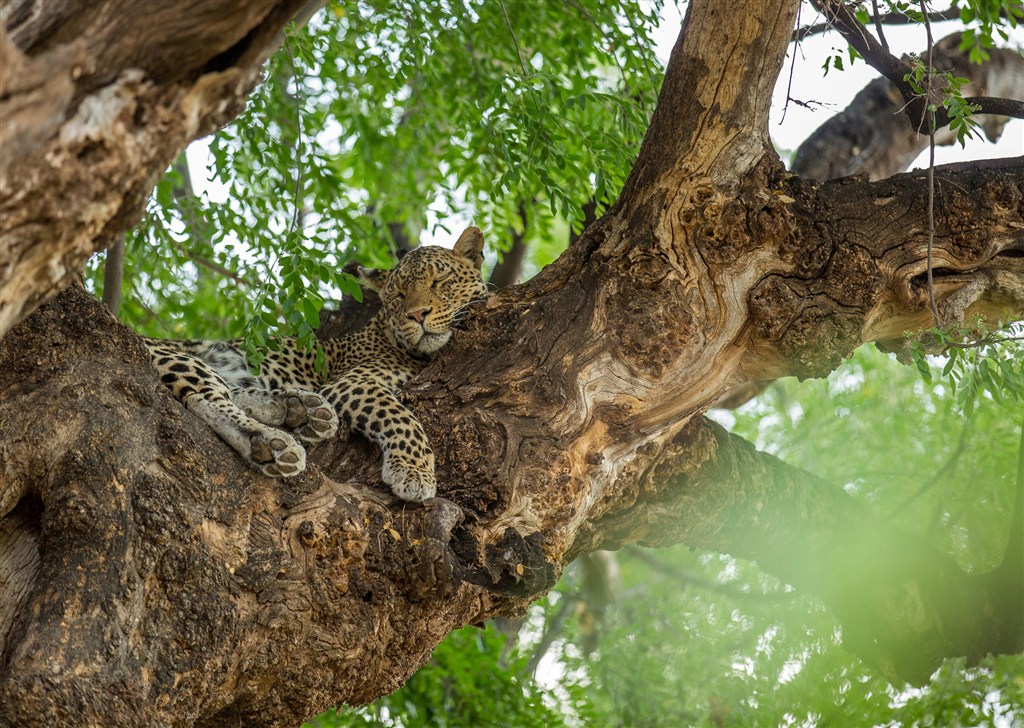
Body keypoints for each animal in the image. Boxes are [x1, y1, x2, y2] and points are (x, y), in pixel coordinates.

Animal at [143, 226, 487, 501]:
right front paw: (414, 471)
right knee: (204, 399)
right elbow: (400, 417)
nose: (417, 314)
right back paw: (272, 441)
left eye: (440, 280)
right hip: (179, 357)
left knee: (227, 392)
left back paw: (301, 410)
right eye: (399, 295)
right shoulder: (350, 381)